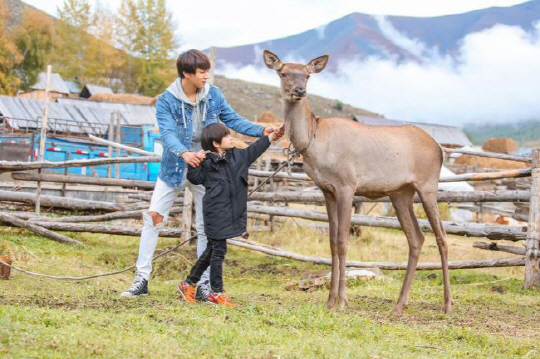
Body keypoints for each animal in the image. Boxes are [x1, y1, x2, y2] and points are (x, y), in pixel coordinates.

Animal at [264, 49, 454, 314]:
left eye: (307, 75)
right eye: (283, 73)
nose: (299, 91)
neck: (313, 143)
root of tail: (439, 148)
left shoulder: (347, 185)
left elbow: (343, 242)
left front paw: (343, 300)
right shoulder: (326, 190)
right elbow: (332, 243)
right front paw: (330, 301)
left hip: (427, 185)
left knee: (442, 237)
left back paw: (447, 303)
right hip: (400, 193)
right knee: (416, 238)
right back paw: (400, 303)